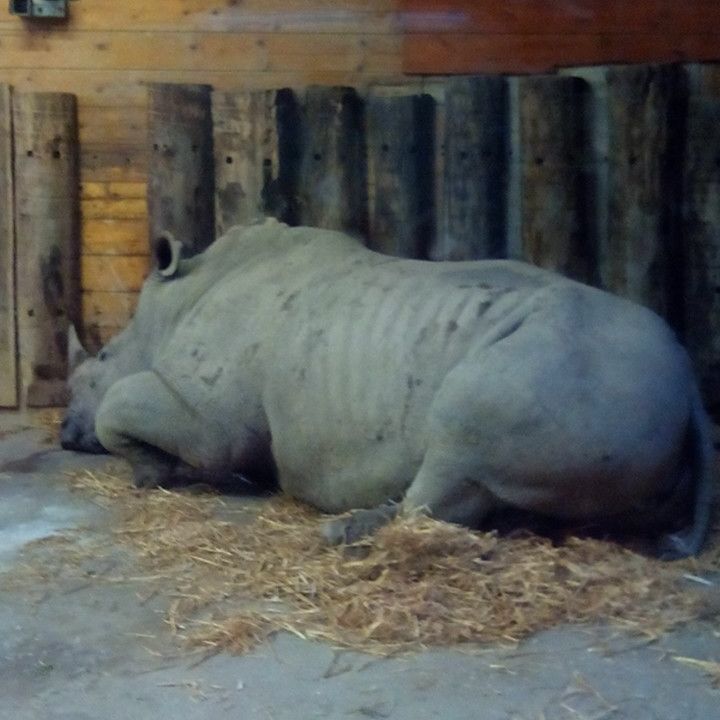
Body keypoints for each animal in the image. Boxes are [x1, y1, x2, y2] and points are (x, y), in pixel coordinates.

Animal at [63, 222, 716, 560]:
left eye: (99, 361)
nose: (65, 434)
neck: (174, 305)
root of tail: (690, 385)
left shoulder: (210, 421)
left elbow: (123, 406)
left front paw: (149, 470)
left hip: (562, 371)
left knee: (457, 438)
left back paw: (342, 534)